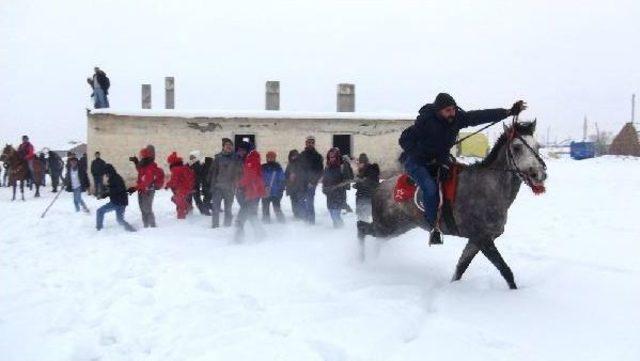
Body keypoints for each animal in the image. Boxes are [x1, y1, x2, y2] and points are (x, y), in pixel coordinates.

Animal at [358, 121, 548, 290]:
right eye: (517, 147)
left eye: (537, 146)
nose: (540, 174)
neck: (488, 187)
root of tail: (379, 187)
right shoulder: (483, 239)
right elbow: (505, 270)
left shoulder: (476, 240)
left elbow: (460, 268)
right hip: (387, 226)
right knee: (361, 227)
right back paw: (361, 261)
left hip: (398, 228)